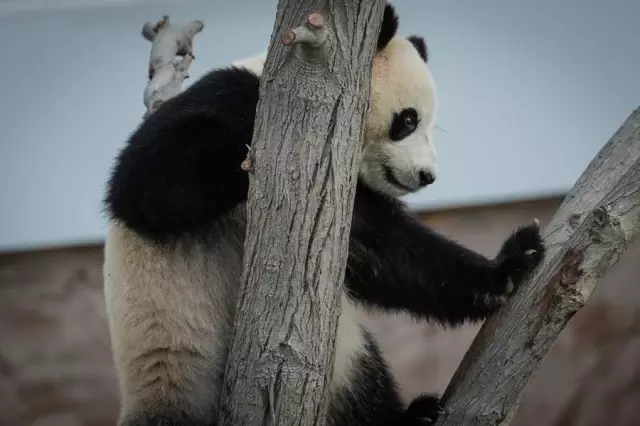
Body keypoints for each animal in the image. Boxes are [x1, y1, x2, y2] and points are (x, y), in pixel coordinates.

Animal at [103, 4, 545, 426]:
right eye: (408, 120)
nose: (426, 176)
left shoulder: (337, 195)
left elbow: (389, 253)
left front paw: (510, 267)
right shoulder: (220, 94)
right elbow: (144, 186)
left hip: (340, 362)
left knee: (361, 380)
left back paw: (412, 416)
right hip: (178, 359)